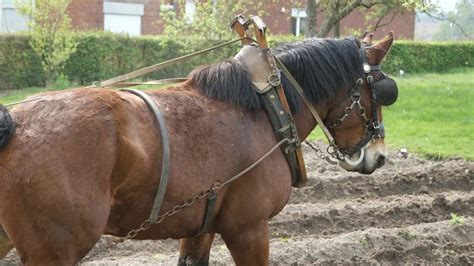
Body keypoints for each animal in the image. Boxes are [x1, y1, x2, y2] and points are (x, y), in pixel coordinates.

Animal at [0, 32, 392, 264]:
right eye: (381, 90)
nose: (379, 155)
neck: (268, 106)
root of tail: (14, 121)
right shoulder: (249, 228)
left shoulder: (202, 229)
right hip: (55, 252)